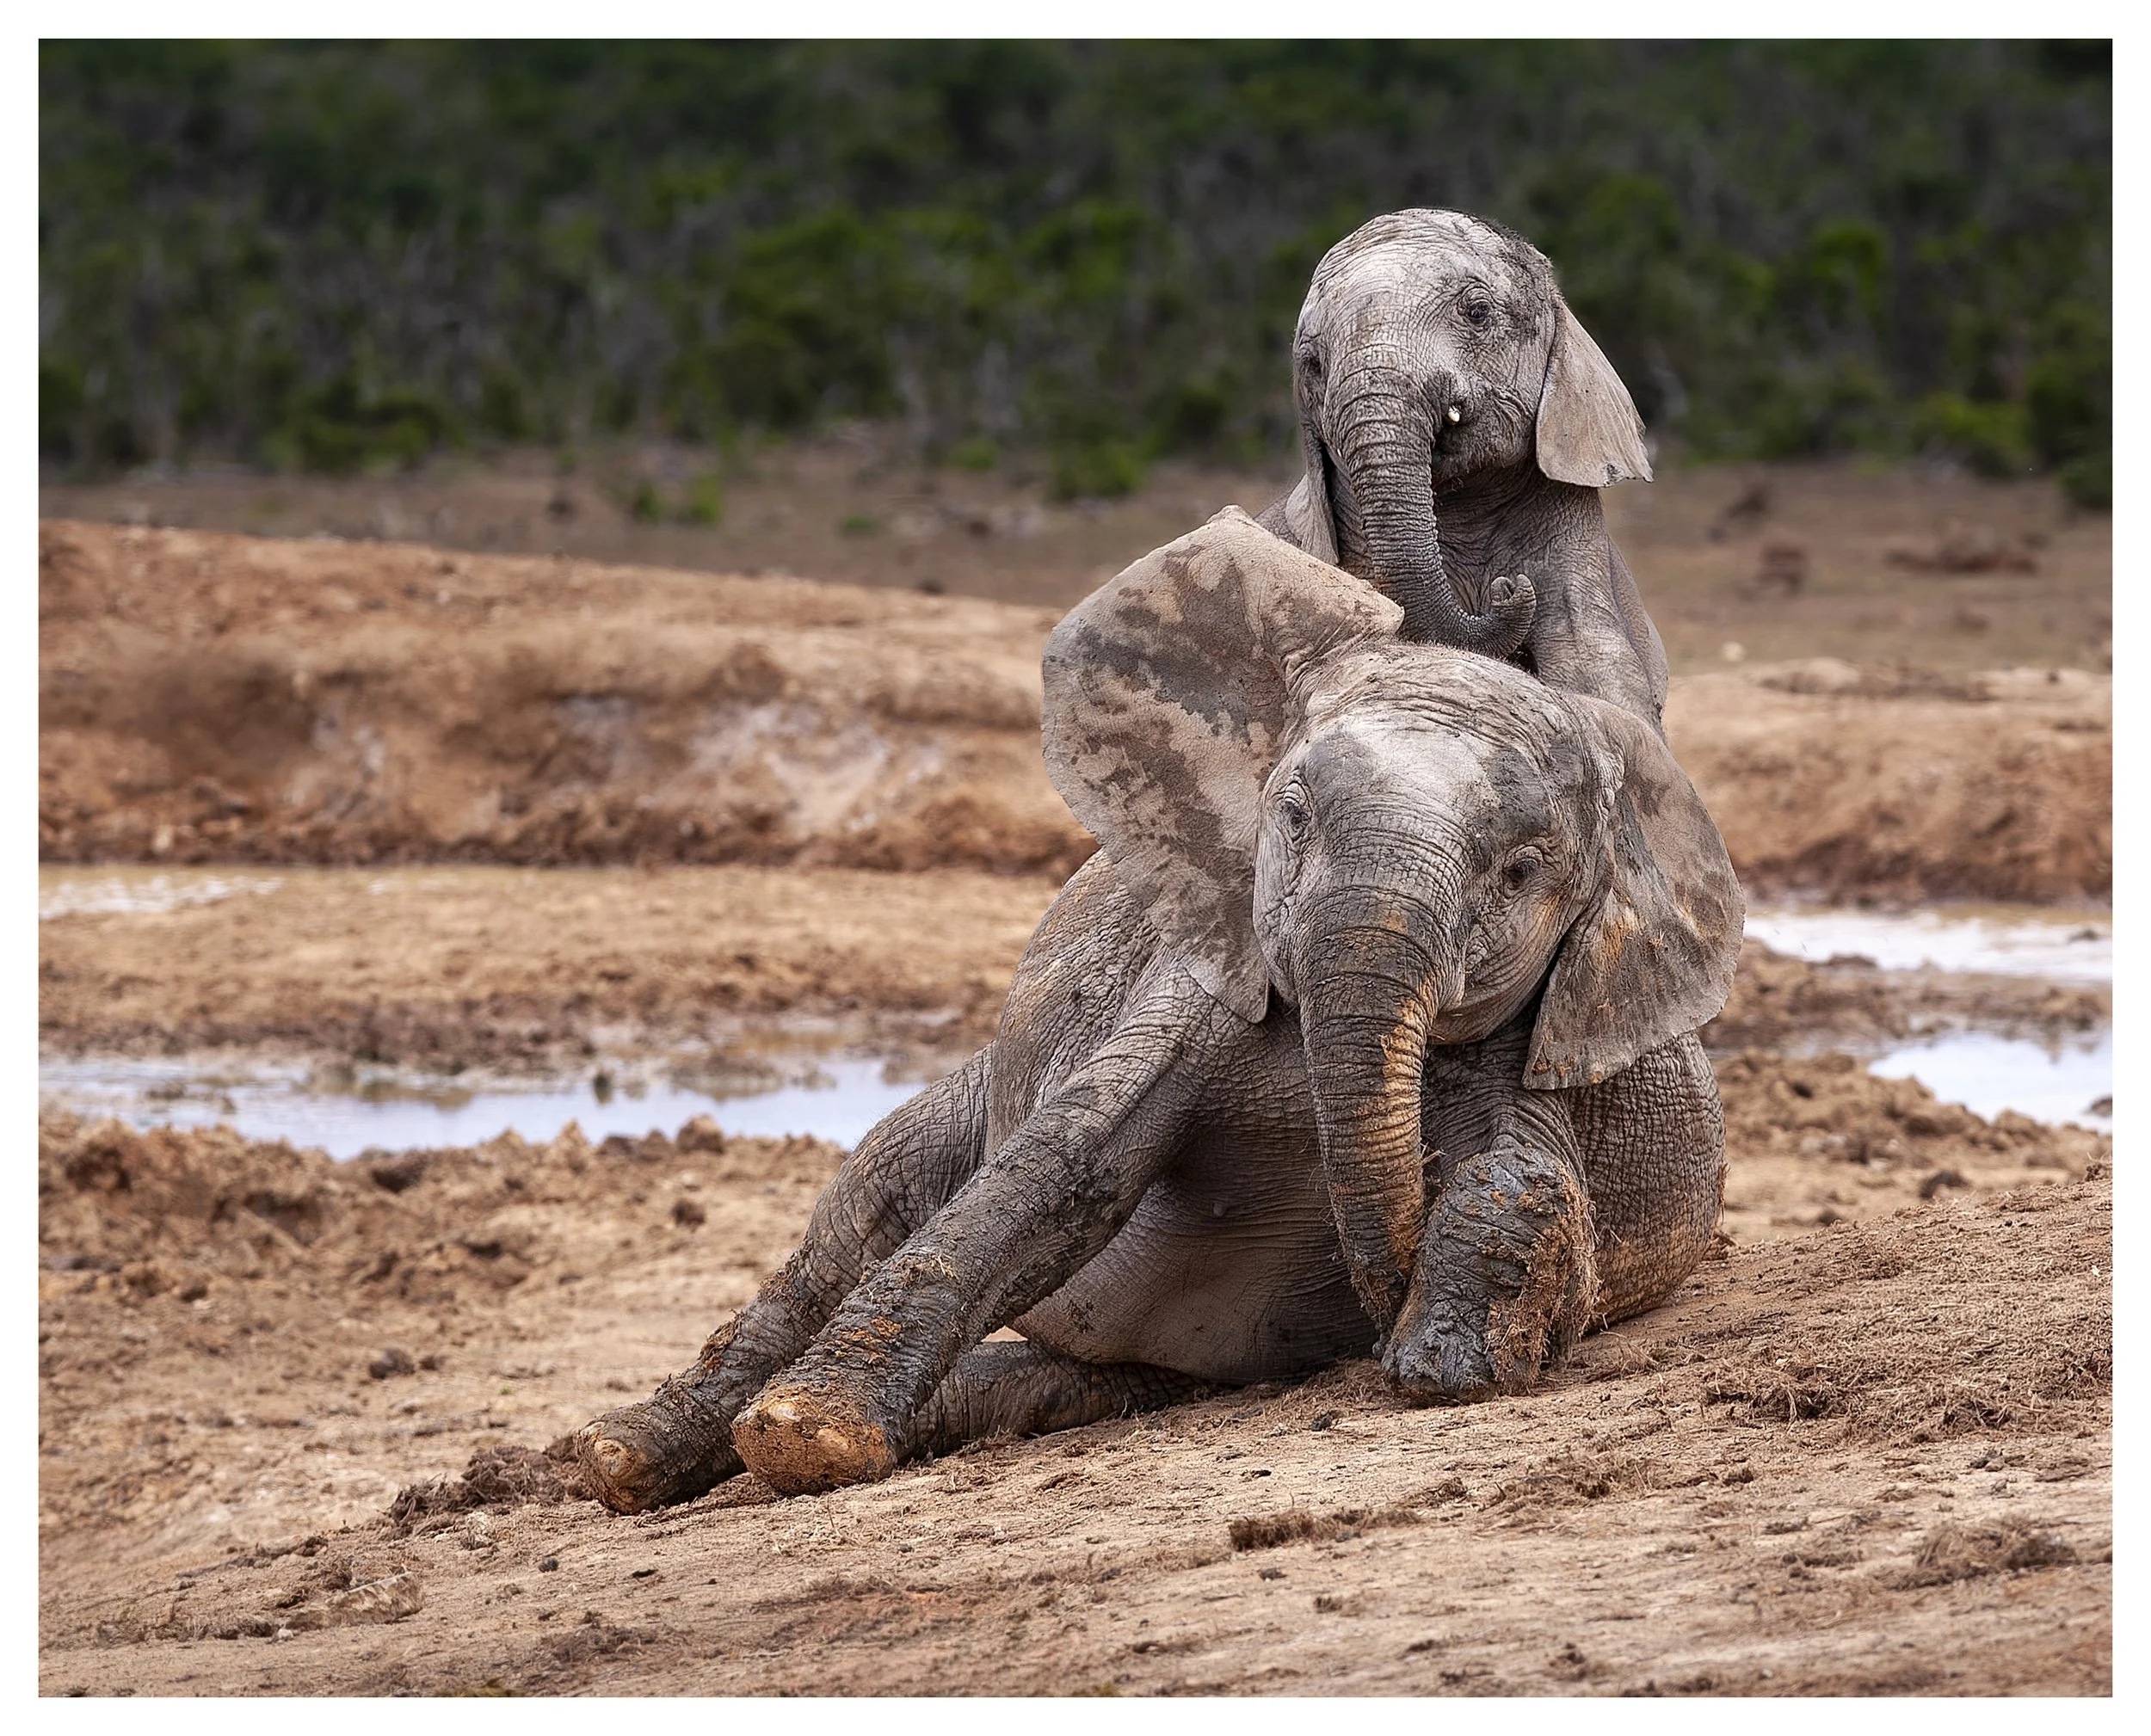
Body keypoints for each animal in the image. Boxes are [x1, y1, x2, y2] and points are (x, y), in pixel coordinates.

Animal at [574, 508, 1742, 1509]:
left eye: (1521, 869)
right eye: (1293, 814)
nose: (1381, 1295)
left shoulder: (1540, 1022)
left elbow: (1527, 1171)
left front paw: (1444, 1364)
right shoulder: (1201, 975)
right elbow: (1064, 1165)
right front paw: (809, 1439)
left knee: (1073, 1374)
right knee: (861, 1212)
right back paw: (622, 1459)